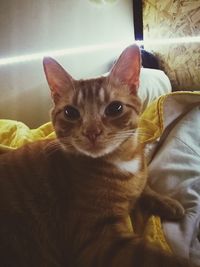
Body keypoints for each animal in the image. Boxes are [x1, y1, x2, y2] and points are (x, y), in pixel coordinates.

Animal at [0, 46, 195, 267]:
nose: (92, 132)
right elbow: (156, 257)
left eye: (115, 108)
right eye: (70, 112)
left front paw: (167, 202)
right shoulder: (99, 242)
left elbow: (144, 187)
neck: (124, 161)